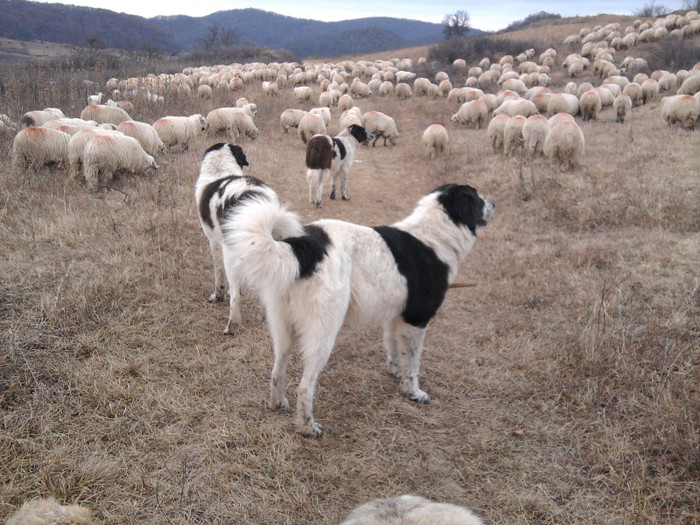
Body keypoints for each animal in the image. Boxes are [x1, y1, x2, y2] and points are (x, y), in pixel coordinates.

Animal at [194, 141, 298, 334]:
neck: (221, 172)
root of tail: (250, 196)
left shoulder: (214, 242)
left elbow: (219, 275)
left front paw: (218, 296)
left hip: (231, 253)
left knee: (235, 296)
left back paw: (232, 326)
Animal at [223, 182, 492, 436]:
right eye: (478, 199)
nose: (494, 204)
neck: (435, 235)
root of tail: (304, 246)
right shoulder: (417, 320)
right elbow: (414, 365)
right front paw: (414, 392)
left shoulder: (395, 318)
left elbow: (395, 350)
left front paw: (395, 372)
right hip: (324, 333)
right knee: (305, 386)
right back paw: (307, 427)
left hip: (283, 328)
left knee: (277, 371)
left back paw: (277, 404)